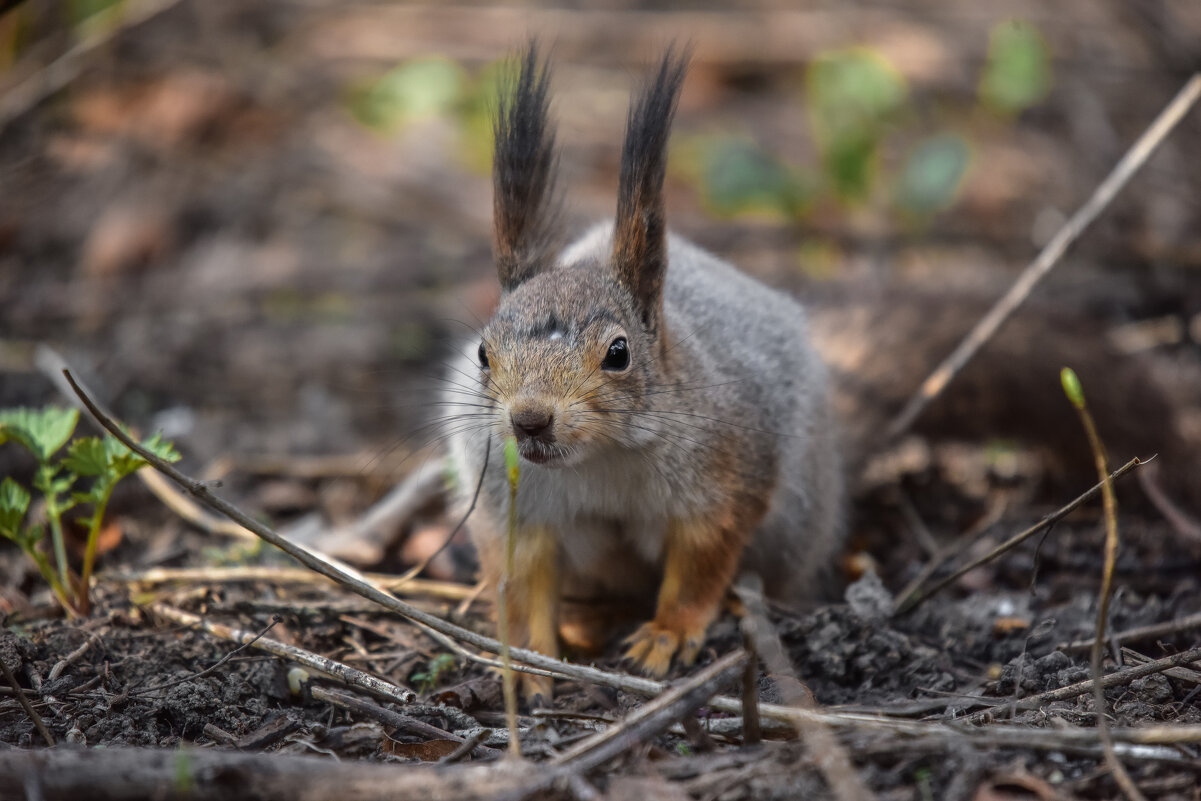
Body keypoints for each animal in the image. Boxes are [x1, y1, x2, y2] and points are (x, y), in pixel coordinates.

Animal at [444, 45, 845, 696]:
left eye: (618, 353)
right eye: (483, 352)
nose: (529, 420)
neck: (599, 457)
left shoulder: (725, 478)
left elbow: (702, 564)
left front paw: (669, 634)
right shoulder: (512, 506)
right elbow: (521, 581)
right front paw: (528, 660)